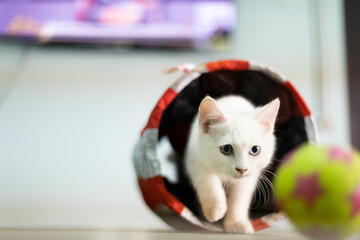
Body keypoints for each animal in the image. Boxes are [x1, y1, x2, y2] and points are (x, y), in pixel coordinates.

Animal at [184, 95, 280, 232]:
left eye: (255, 150)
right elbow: (208, 182)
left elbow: (239, 198)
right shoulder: (195, 157)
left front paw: (236, 222)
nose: (242, 169)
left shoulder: (249, 177)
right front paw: (214, 209)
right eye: (226, 149)